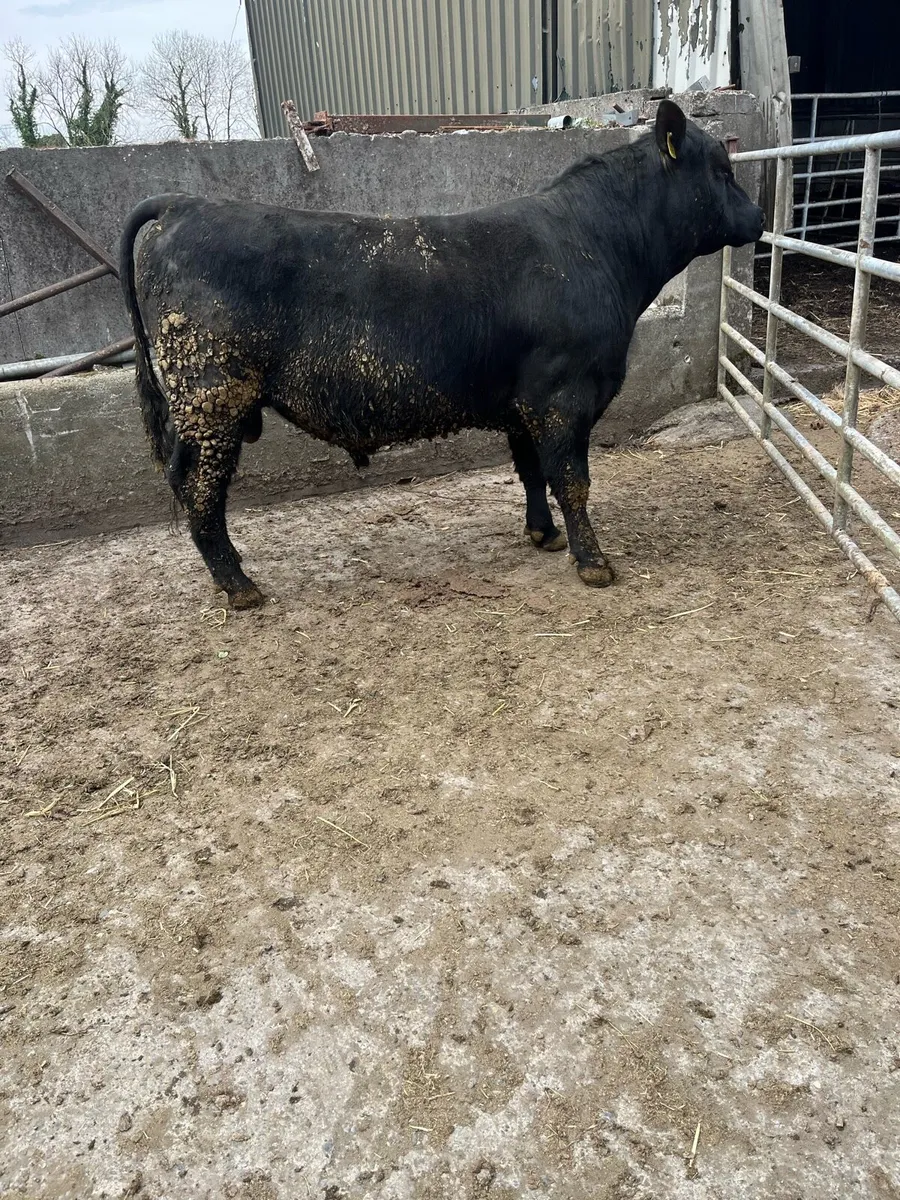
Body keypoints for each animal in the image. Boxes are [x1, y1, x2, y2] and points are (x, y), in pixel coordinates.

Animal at [119, 100, 763, 608]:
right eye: (723, 169)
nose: (759, 217)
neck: (597, 248)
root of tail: (185, 205)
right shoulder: (564, 397)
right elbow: (572, 479)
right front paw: (593, 563)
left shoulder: (524, 403)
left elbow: (532, 471)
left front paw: (544, 535)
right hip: (212, 398)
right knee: (200, 487)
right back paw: (240, 586)